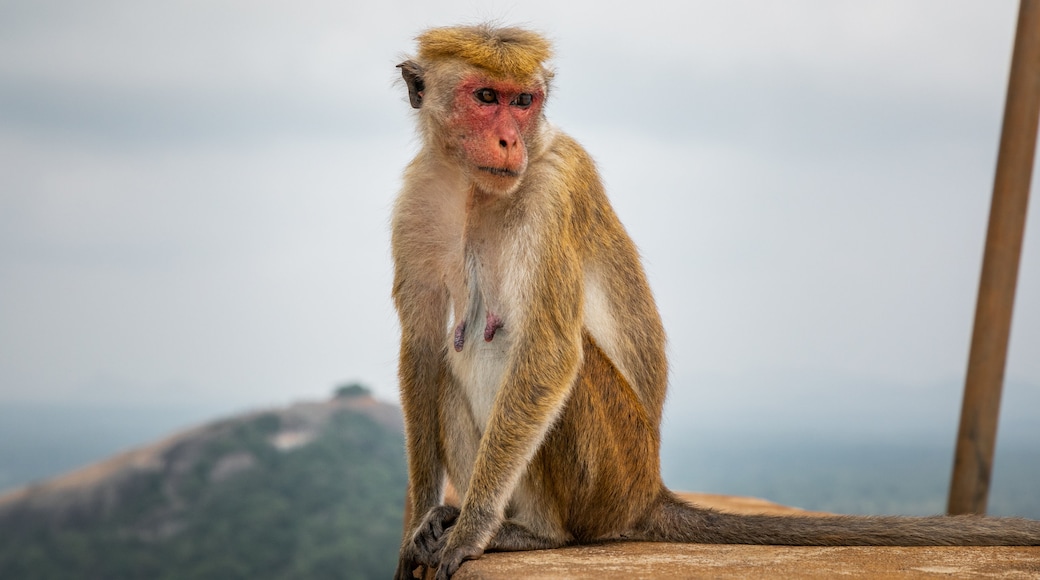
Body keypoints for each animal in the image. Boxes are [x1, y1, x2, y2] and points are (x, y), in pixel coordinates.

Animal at [391, 24, 1040, 580]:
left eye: (523, 101)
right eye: (486, 97)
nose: (509, 139)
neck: (476, 190)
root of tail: (649, 490)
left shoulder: (556, 185)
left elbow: (549, 352)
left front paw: (471, 531)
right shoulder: (419, 191)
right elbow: (421, 350)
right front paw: (418, 525)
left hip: (613, 471)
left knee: (525, 351)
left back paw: (531, 533)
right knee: (452, 354)